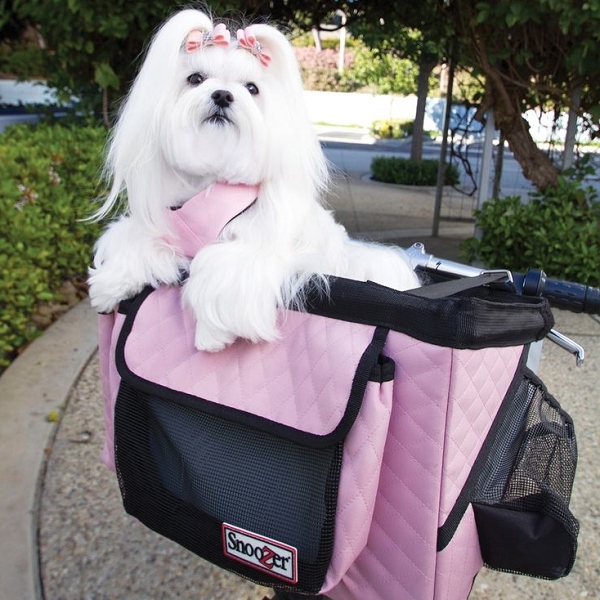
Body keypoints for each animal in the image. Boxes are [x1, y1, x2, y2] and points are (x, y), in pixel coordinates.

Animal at [88, 8, 418, 352]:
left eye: (251, 88)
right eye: (195, 79)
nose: (222, 95)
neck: (213, 180)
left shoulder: (259, 251)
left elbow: (218, 262)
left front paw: (211, 335)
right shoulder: (164, 227)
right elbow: (133, 240)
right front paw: (110, 286)